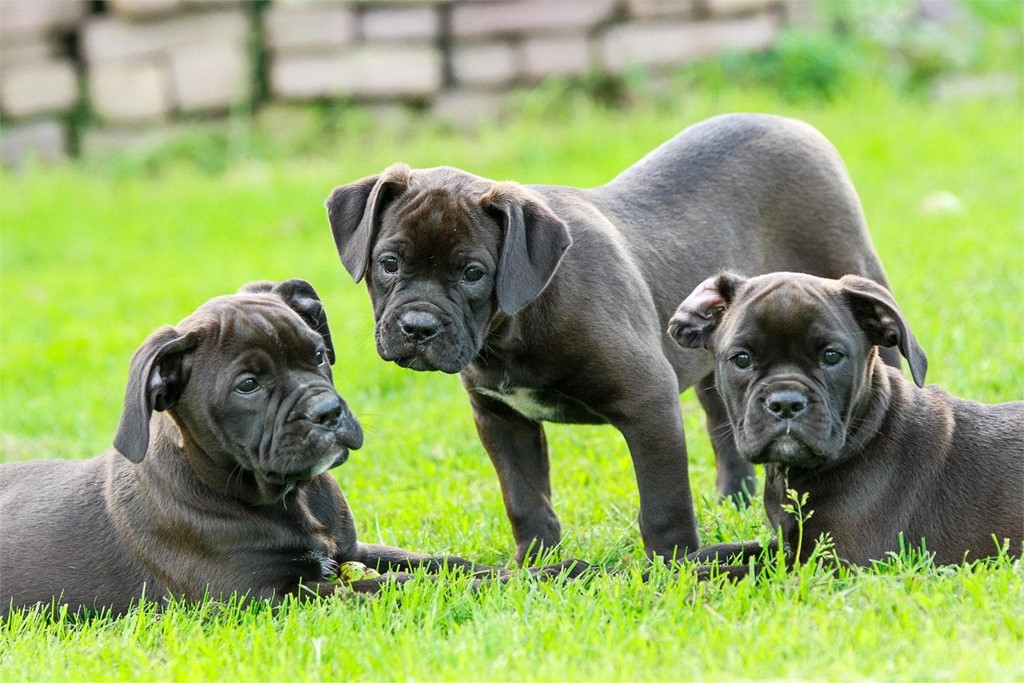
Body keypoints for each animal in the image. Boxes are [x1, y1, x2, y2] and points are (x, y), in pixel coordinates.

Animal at [0, 280, 581, 618]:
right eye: (248, 386)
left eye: (318, 353)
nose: (327, 412)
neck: (286, 496)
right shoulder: (274, 597)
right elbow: (406, 588)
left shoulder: (349, 551)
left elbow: (447, 565)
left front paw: (557, 570)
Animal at [323, 114, 901, 565]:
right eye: (388, 263)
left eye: (472, 273)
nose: (419, 327)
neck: (516, 324)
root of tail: (792, 124)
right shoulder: (501, 418)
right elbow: (526, 500)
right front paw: (537, 567)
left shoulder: (648, 402)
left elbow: (664, 506)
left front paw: (675, 570)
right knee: (724, 427)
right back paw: (730, 501)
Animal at [671, 270, 1024, 573]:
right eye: (741, 359)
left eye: (832, 356)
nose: (786, 403)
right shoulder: (787, 545)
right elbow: (728, 551)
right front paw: (668, 567)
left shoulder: (832, 563)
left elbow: (738, 573)